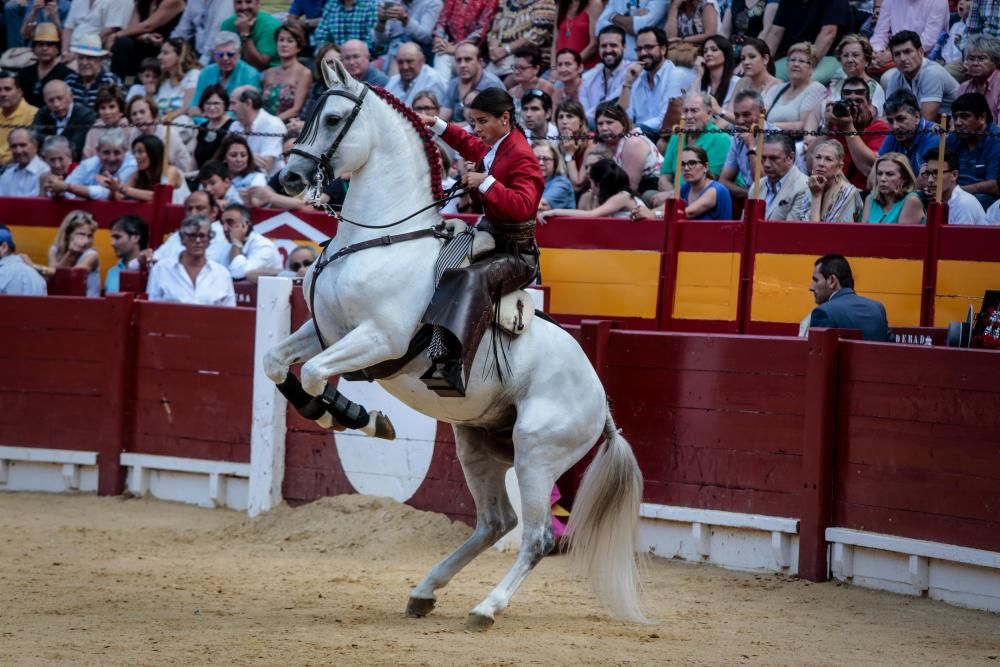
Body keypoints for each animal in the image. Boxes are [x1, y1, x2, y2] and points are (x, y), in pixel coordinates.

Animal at [264, 58, 648, 632]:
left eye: (332, 118)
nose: (285, 177)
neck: (380, 239)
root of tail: (603, 407)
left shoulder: (378, 338)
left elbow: (312, 375)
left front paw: (359, 417)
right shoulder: (323, 328)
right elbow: (276, 364)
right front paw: (349, 414)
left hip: (537, 453)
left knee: (536, 537)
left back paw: (486, 608)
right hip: (478, 445)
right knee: (495, 522)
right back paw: (424, 591)